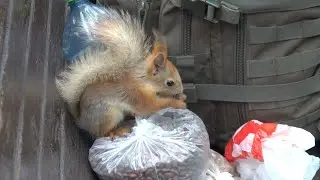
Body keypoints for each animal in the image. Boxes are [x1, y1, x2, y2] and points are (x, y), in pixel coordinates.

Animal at [54, 8, 185, 139]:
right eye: (170, 83)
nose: (181, 91)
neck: (143, 83)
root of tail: (82, 121)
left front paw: (182, 97)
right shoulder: (137, 97)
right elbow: (155, 106)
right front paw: (178, 103)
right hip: (108, 115)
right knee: (101, 134)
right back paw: (117, 131)